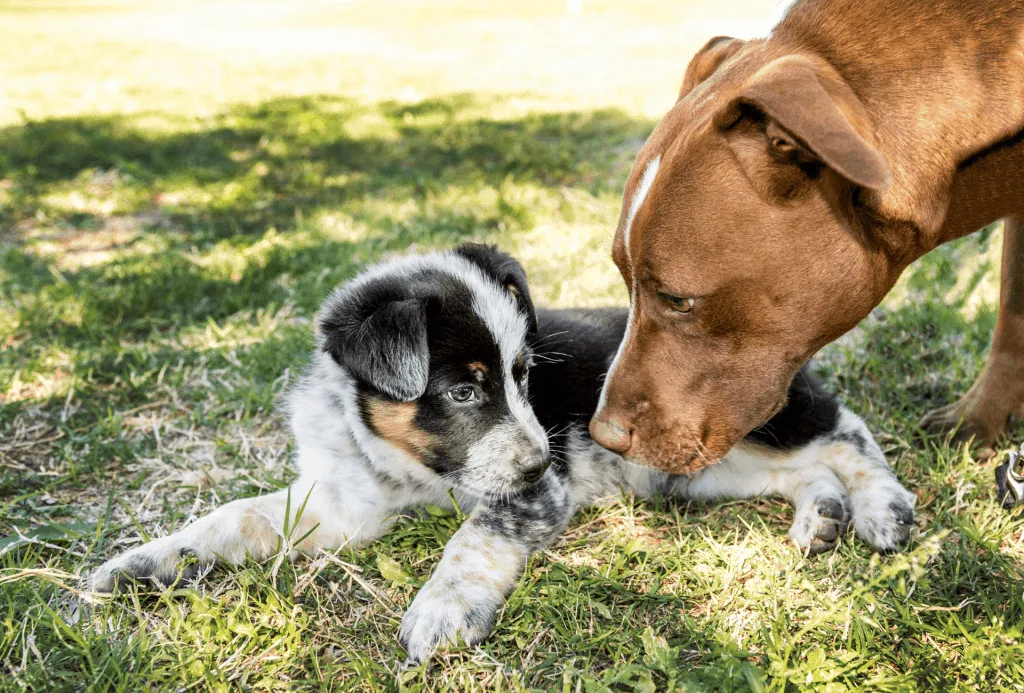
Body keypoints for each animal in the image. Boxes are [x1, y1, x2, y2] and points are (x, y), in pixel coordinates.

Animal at [92, 243, 917, 659]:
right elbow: (234, 517)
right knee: (806, 470)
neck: (412, 467)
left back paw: (883, 508)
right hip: (697, 470)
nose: (540, 460)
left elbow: (470, 538)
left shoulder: (529, 495)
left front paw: (442, 608)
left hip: (764, 421)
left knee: (846, 430)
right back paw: (822, 516)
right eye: (464, 390)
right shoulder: (341, 502)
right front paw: (140, 565)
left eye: (524, 374)